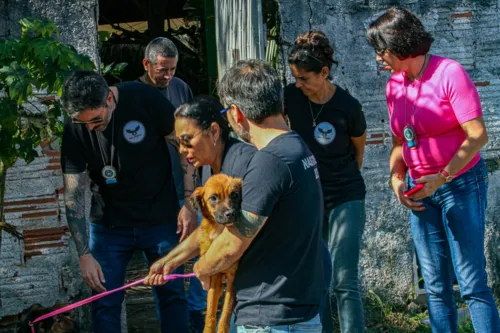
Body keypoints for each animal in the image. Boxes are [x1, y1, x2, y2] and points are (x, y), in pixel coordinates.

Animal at [188, 172, 243, 332]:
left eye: (234, 195)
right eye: (213, 198)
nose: (230, 214)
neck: (220, 231)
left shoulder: (232, 277)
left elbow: (225, 313)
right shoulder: (214, 276)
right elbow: (211, 312)